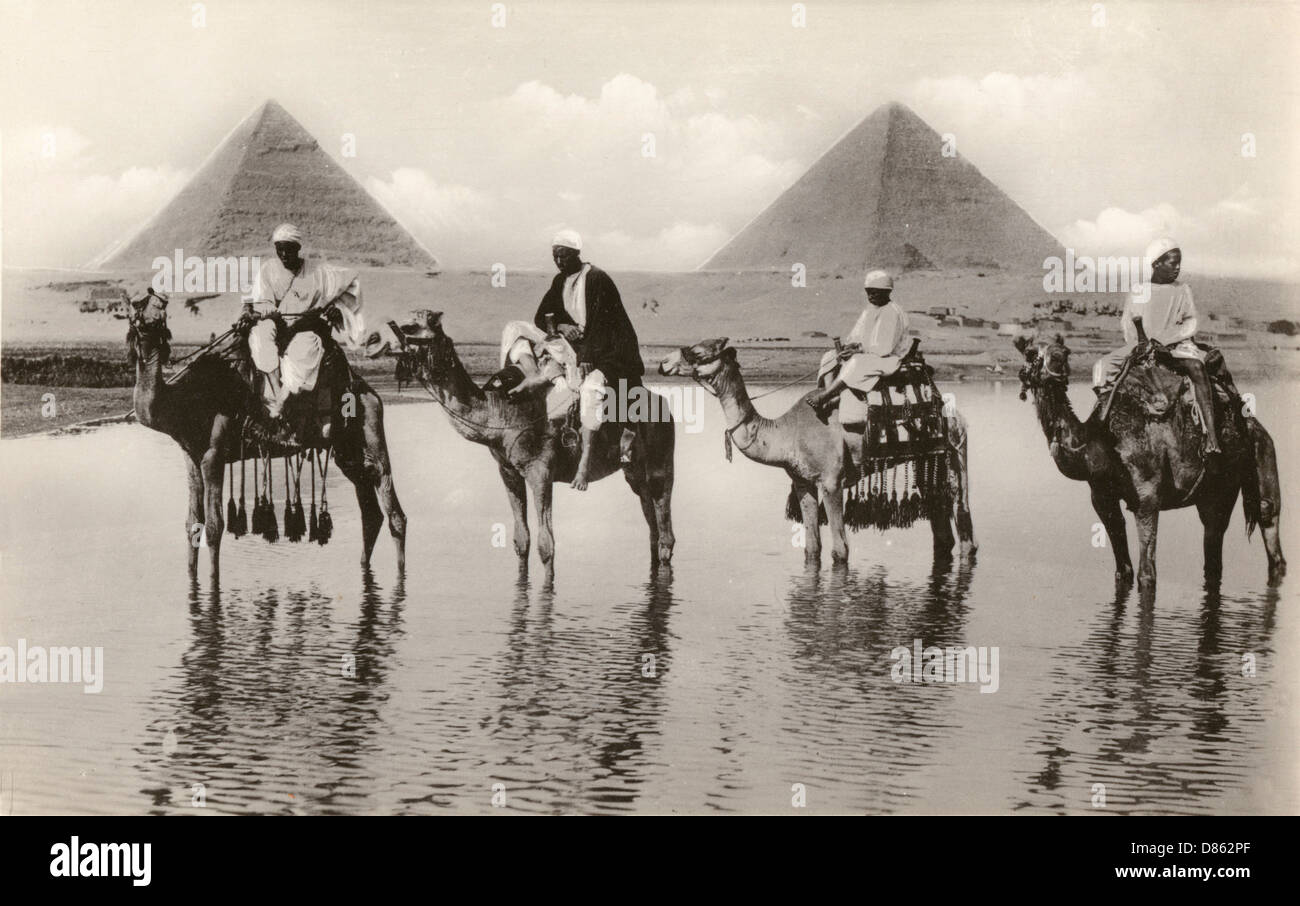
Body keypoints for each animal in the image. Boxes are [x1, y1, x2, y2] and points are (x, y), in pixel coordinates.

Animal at [127, 288, 403, 579]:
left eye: (160, 310)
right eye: (137, 305)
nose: (148, 319)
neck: (187, 398)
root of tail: (369, 392)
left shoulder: (214, 454)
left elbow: (214, 526)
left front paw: (213, 583)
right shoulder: (190, 454)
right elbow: (193, 523)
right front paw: (192, 578)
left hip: (371, 427)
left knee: (392, 507)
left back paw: (400, 576)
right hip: (348, 452)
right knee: (371, 512)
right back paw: (364, 567)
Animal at [364, 308, 670, 582]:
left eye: (410, 326)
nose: (371, 340)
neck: (499, 409)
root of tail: (664, 406)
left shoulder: (541, 471)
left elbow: (547, 545)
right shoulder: (508, 470)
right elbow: (521, 540)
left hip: (660, 465)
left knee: (665, 532)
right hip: (634, 473)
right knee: (652, 527)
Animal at [660, 337, 977, 566]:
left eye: (697, 351)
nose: (663, 363)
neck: (787, 433)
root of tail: (955, 412)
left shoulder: (832, 481)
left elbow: (840, 550)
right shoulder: (803, 482)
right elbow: (812, 548)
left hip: (956, 450)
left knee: (962, 517)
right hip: (927, 460)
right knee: (939, 518)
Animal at [1013, 332, 1279, 592]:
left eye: (1066, 351)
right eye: (1030, 352)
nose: (1058, 360)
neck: (1102, 439)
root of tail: (1249, 421)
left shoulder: (1147, 495)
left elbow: (1147, 576)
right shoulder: (1101, 495)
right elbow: (1123, 571)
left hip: (1249, 462)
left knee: (1265, 517)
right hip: (1215, 489)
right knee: (1215, 544)